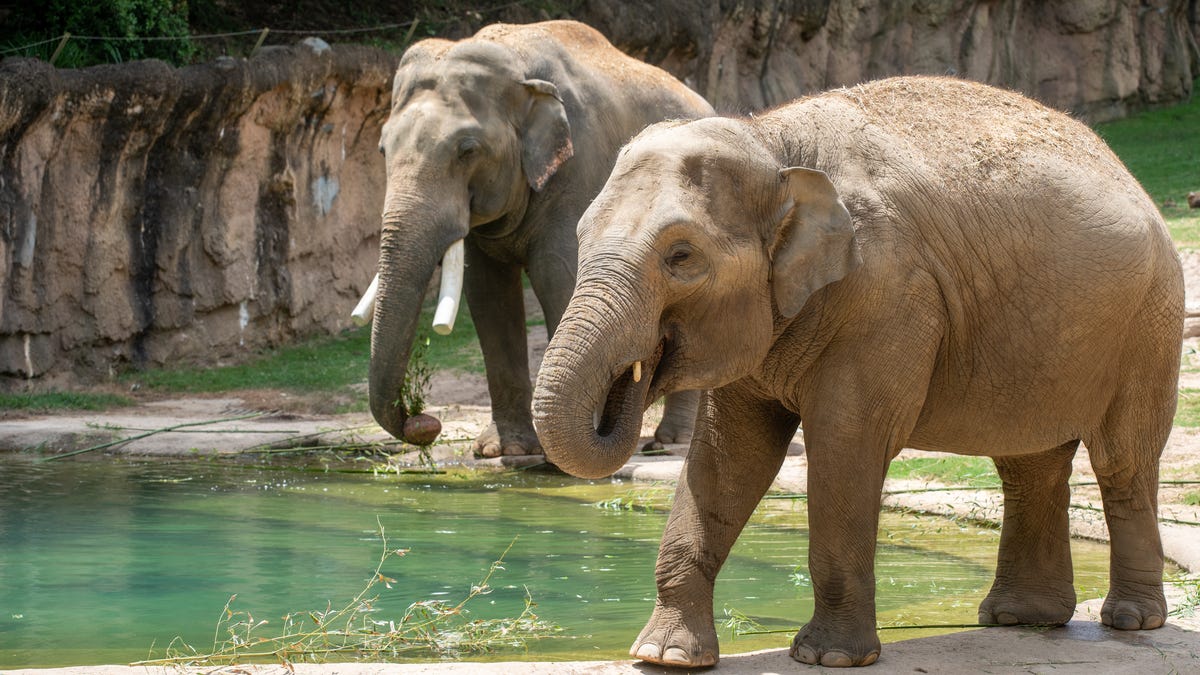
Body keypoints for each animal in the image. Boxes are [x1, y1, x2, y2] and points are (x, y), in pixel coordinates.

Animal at [366, 21, 712, 456]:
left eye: (467, 150)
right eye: (382, 149)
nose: (426, 422)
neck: (517, 66)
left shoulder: (579, 169)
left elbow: (557, 275)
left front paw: (566, 451)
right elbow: (488, 293)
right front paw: (505, 451)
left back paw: (669, 443)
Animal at [532, 76, 1184, 667]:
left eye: (681, 256)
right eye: (582, 236)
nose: (634, 379)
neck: (771, 142)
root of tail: (1125, 170)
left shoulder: (889, 294)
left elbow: (846, 442)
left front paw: (828, 657)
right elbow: (728, 455)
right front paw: (664, 656)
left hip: (1151, 322)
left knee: (1122, 459)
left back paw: (1130, 620)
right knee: (1030, 464)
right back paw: (1021, 619)